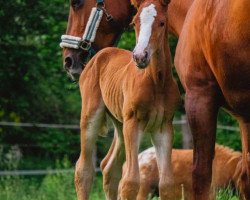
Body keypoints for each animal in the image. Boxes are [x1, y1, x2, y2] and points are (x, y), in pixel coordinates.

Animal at [74, 0, 180, 199]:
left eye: (162, 23)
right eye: (134, 22)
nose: (140, 56)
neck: (156, 82)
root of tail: (100, 54)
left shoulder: (164, 126)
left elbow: (168, 184)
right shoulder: (133, 121)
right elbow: (130, 182)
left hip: (120, 124)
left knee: (110, 168)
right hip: (92, 116)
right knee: (83, 170)